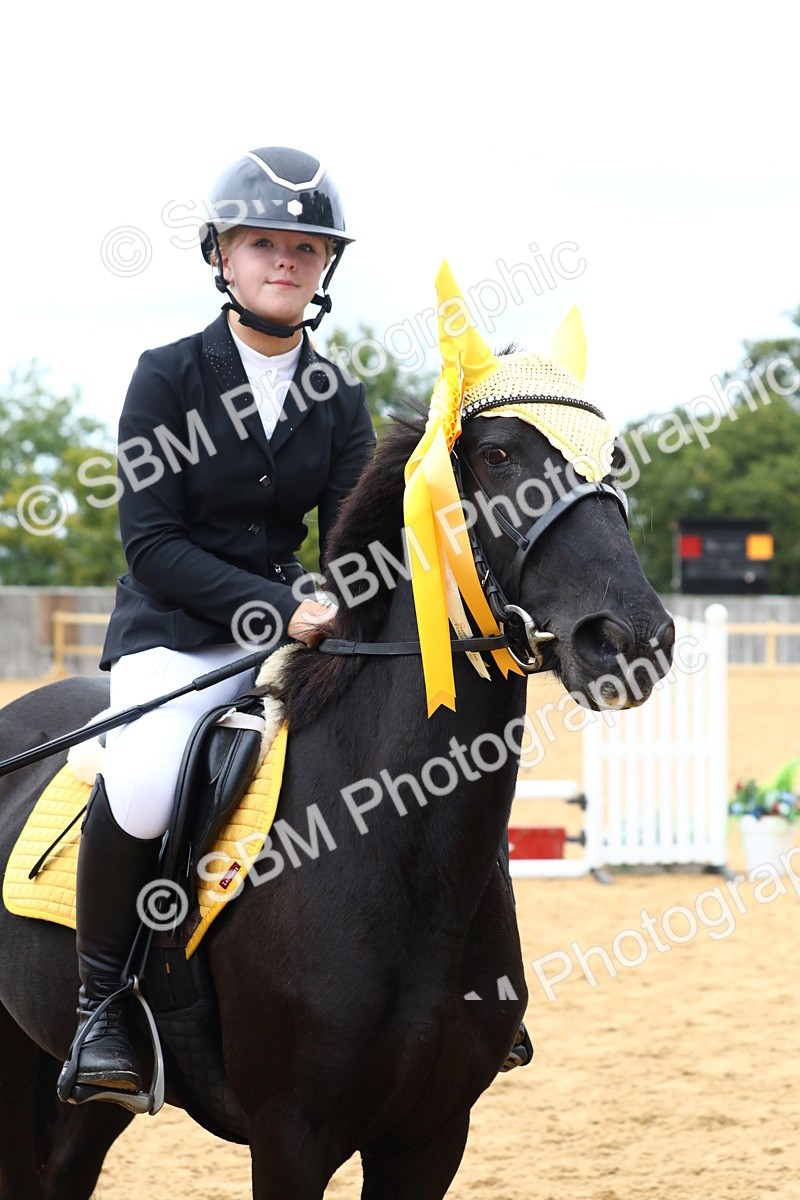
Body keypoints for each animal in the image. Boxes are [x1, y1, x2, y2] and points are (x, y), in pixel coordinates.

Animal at [0, 399, 675, 1199]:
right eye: (499, 455)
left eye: (615, 459)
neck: (393, 852)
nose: (632, 638)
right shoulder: (291, 1134)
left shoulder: (432, 1136)